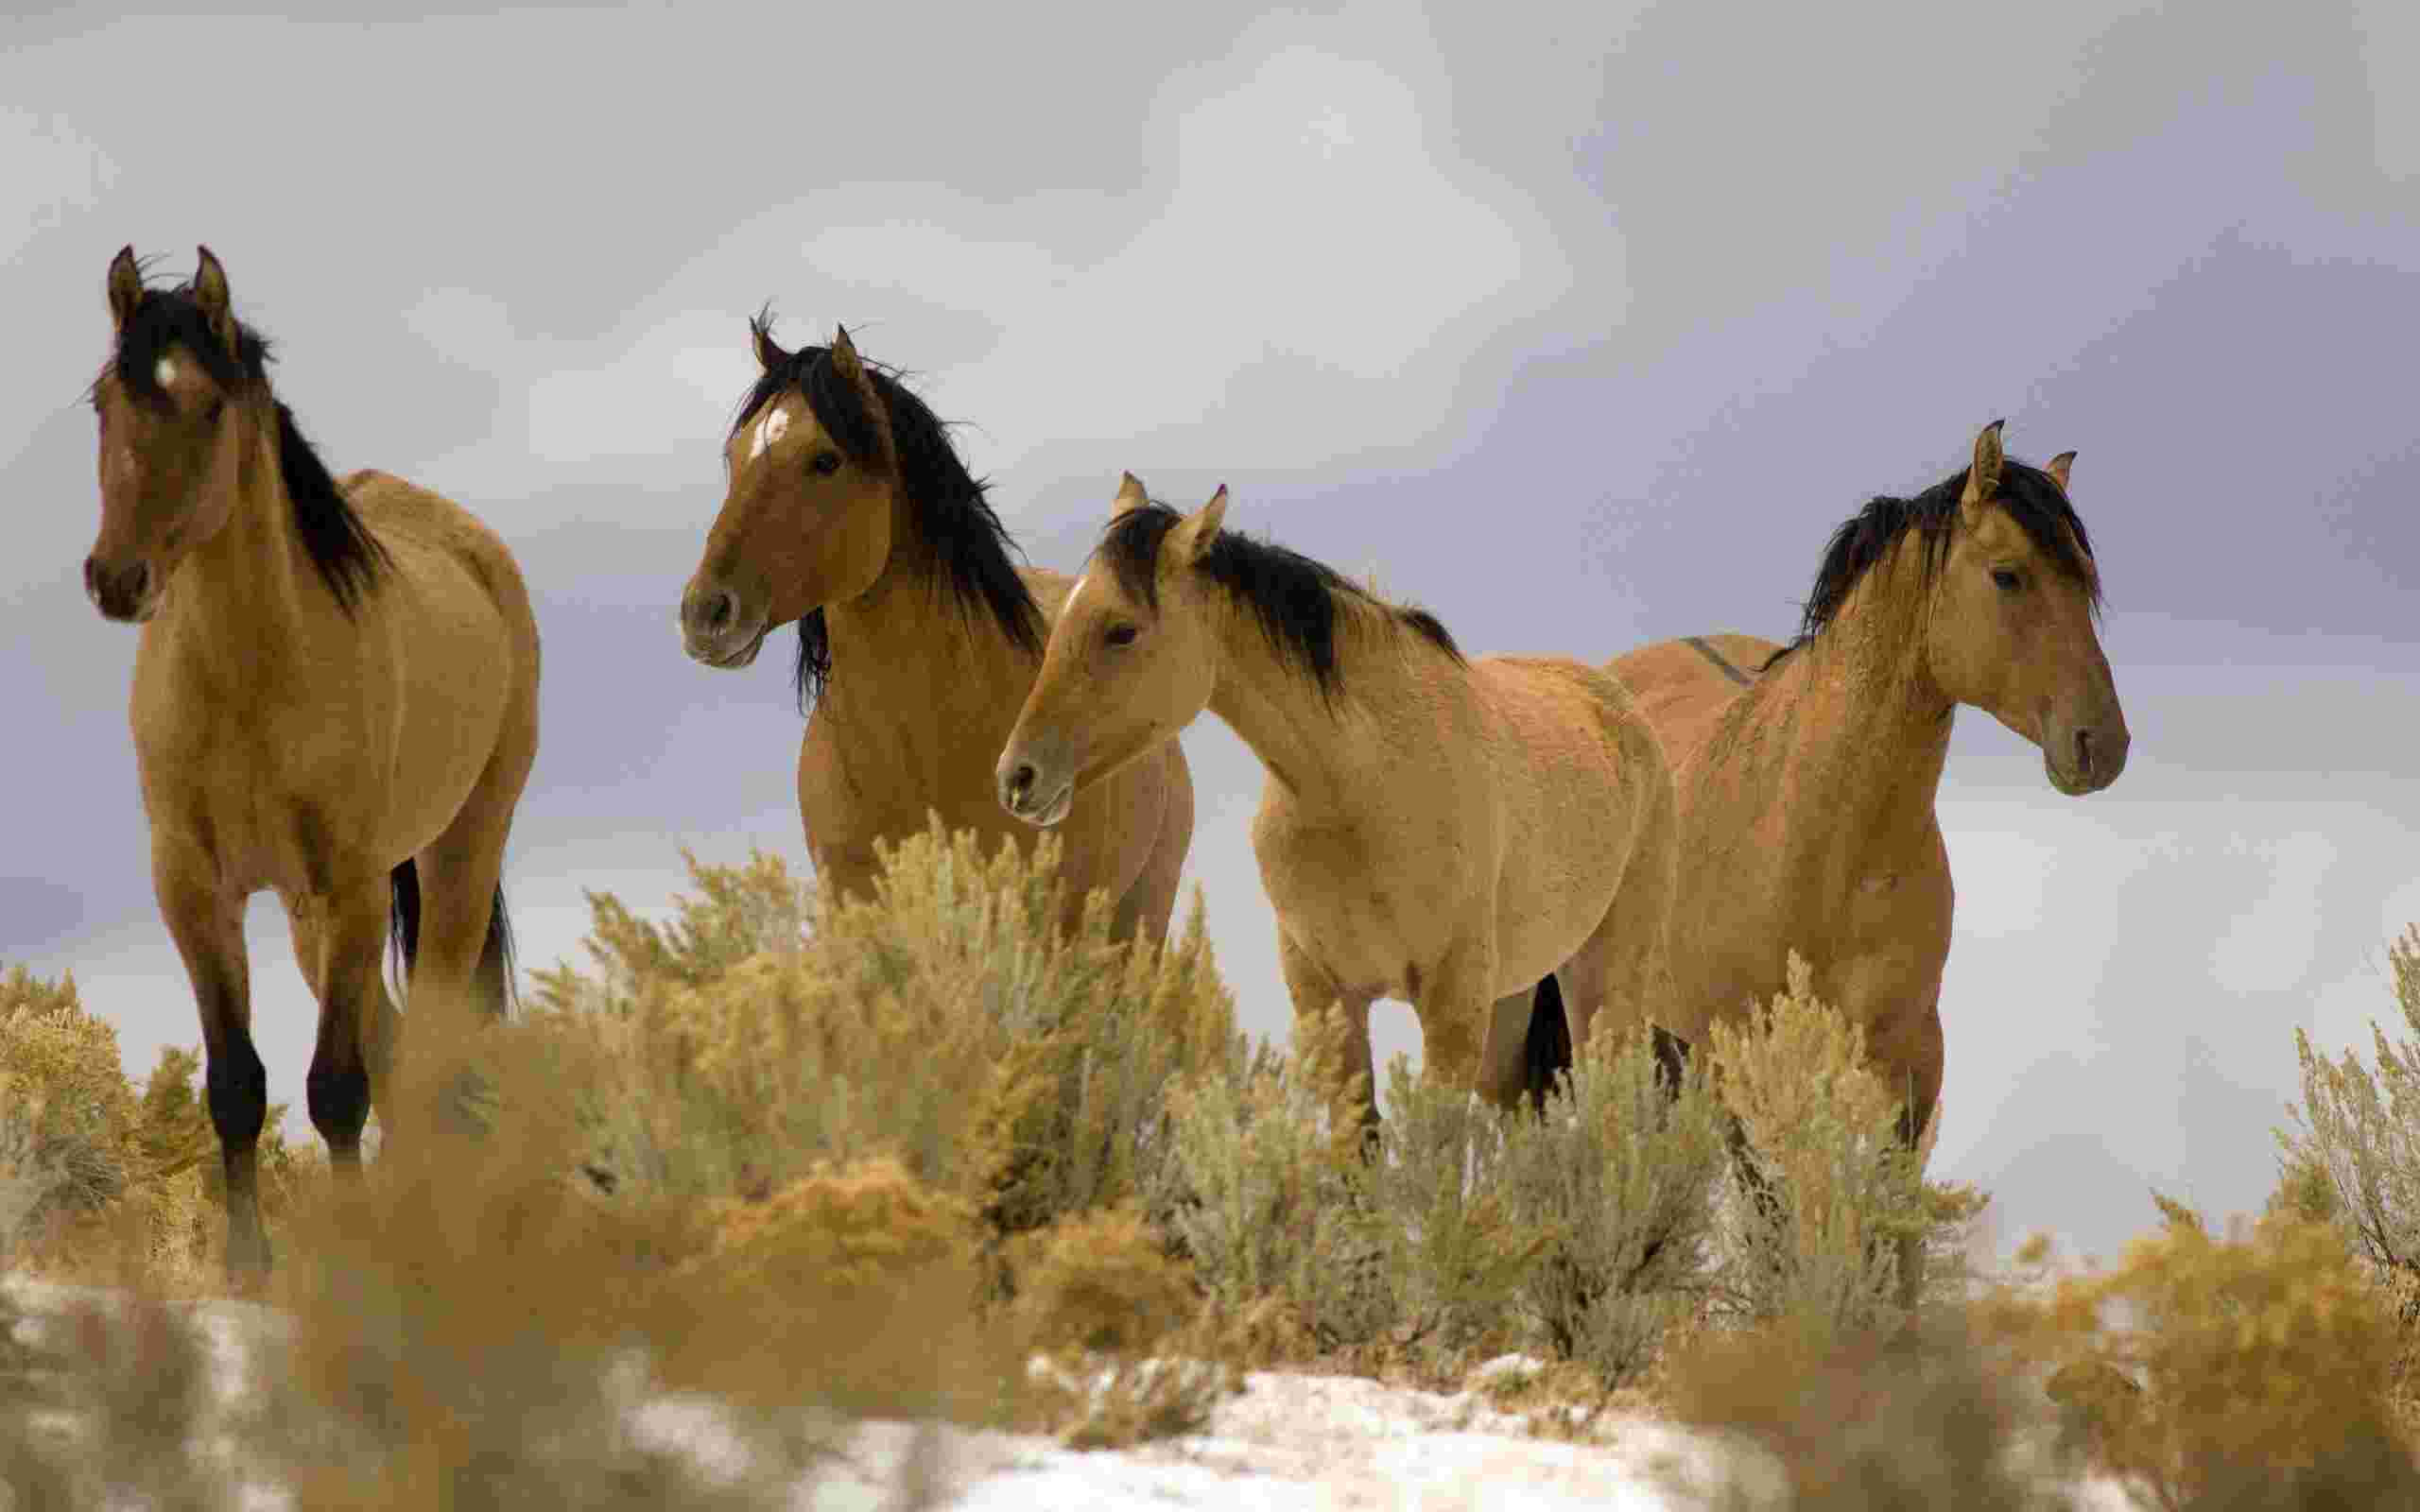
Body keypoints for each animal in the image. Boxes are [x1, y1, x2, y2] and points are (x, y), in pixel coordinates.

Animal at [84, 247, 541, 1283]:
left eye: (208, 402)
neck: (250, 676)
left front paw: (360, 1263)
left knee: (429, 1054)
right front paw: (249, 1267)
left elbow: (337, 1086)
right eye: (104, 399)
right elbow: (237, 1084)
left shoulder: (353, 883)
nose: (116, 579)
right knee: (397, 1045)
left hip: (454, 860)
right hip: (306, 916)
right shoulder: (195, 890)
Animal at [995, 476, 1679, 1128]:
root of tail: (1625, 715)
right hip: (1514, 997)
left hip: (1603, 981)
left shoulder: (1451, 1000)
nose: (1018, 776)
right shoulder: (1326, 994)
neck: (1361, 785)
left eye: (1122, 630)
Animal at [1532, 418, 2127, 1300]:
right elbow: (1792, 1224)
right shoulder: (1754, 1060)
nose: (2101, 745)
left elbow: (1889, 1228)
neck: (1821, 839)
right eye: (2009, 576)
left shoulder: (1911, 1057)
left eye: (2085, 582)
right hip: (1618, 1021)